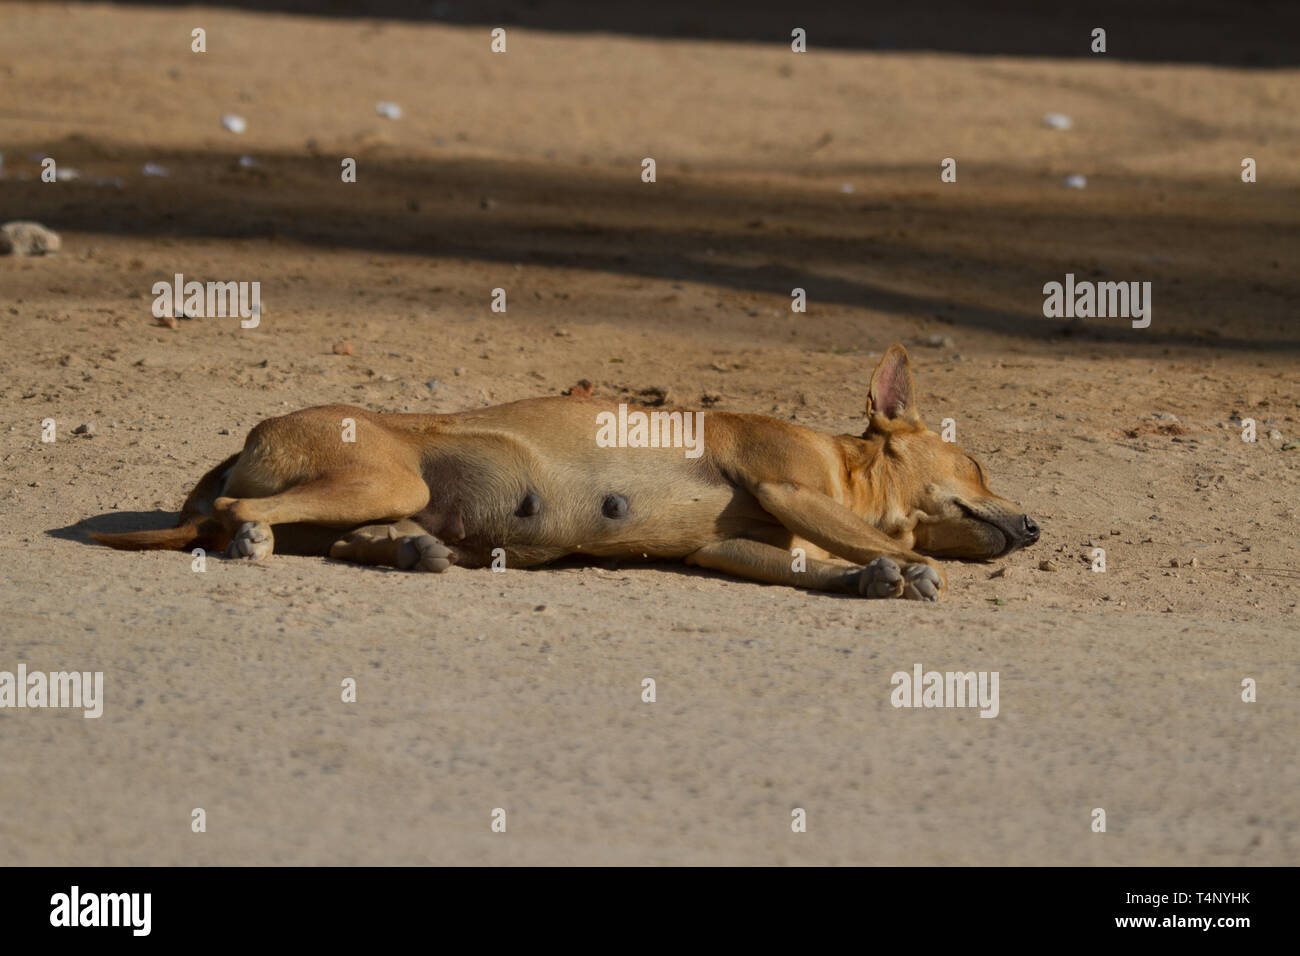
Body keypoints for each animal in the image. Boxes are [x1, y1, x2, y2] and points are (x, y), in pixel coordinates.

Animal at [91, 343, 1040, 598]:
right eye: (977, 461)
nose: (1035, 526)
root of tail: (248, 436)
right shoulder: (787, 485)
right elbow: (885, 549)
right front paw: (904, 568)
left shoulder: (733, 549)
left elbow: (826, 566)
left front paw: (871, 575)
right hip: (385, 478)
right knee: (239, 516)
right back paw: (251, 535)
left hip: (401, 505)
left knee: (348, 541)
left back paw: (412, 553)